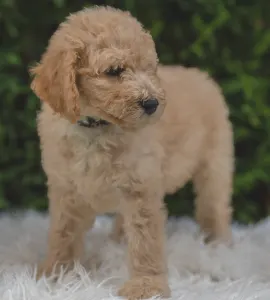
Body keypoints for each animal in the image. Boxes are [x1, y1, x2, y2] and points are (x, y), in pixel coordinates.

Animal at [30, 5, 234, 300]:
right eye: (114, 70)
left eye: (149, 69)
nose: (152, 103)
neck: (97, 128)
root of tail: (201, 75)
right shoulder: (66, 189)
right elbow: (62, 233)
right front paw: (55, 274)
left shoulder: (141, 188)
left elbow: (146, 243)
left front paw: (146, 286)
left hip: (215, 161)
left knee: (214, 206)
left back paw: (219, 246)